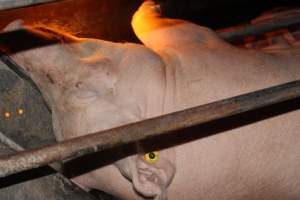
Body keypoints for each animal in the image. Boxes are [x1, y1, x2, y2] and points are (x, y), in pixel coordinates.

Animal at [0, 0, 300, 199]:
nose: (9, 39)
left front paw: (149, 4)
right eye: (52, 100)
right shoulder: (198, 46)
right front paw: (149, 5)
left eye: (82, 88)